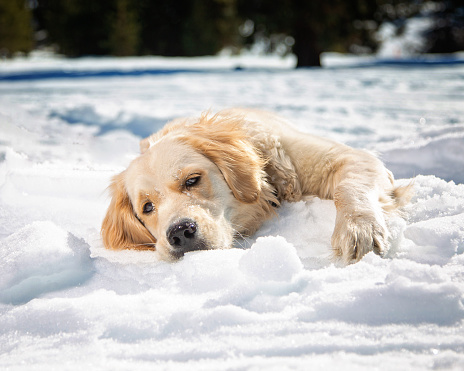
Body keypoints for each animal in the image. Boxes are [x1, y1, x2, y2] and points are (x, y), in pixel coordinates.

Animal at [101, 107, 414, 264]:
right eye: (147, 207)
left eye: (192, 180)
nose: (179, 233)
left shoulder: (350, 158)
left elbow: (347, 187)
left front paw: (359, 228)